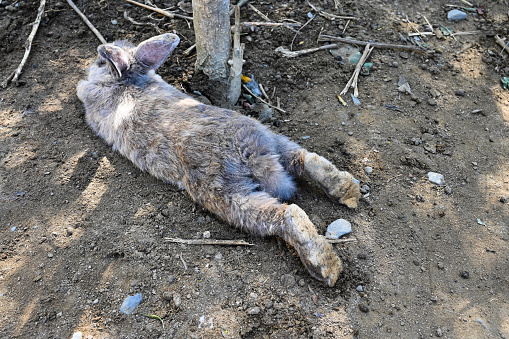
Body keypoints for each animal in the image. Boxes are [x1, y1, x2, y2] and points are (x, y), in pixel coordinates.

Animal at [77, 33, 360, 286]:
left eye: (101, 62)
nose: (92, 64)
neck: (129, 81)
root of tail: (252, 152)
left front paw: (79, 87)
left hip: (223, 192)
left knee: (287, 213)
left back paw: (325, 266)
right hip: (274, 142)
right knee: (305, 159)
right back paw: (348, 191)